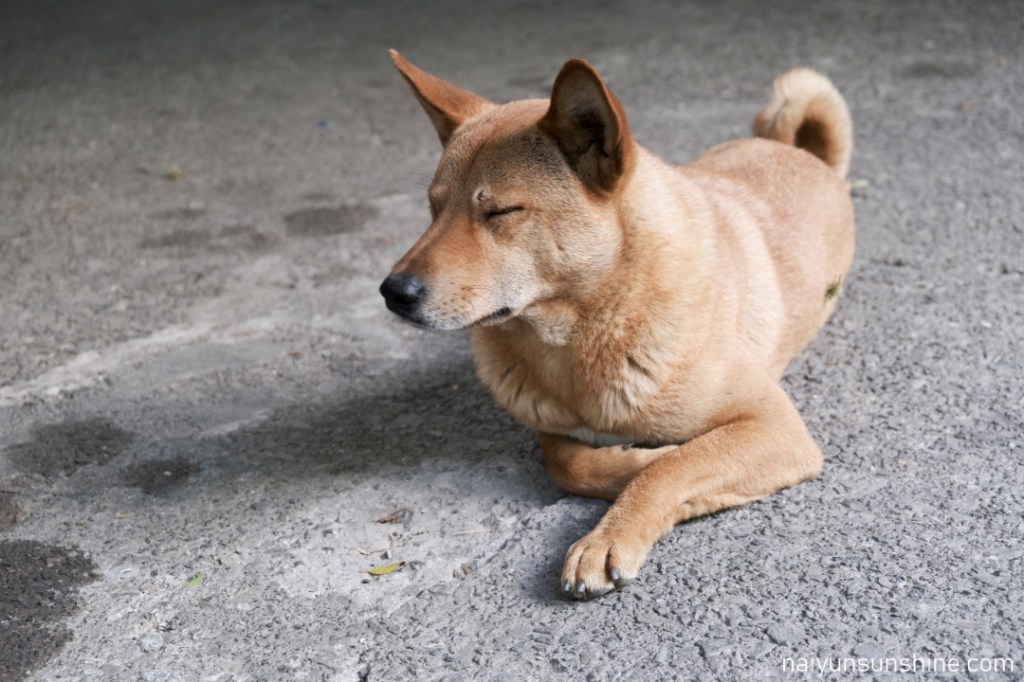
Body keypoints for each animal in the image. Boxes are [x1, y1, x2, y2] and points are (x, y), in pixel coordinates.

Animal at [380, 50, 854, 599]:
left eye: (501, 211)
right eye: (433, 209)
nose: (393, 292)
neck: (586, 332)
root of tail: (797, 152)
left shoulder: (775, 427)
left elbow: (675, 466)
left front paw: (615, 526)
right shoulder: (550, 426)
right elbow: (570, 463)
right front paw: (632, 462)